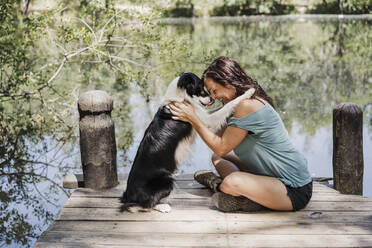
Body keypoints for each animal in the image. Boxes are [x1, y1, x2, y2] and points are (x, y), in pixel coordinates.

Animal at [120, 72, 254, 212]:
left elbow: (220, 108)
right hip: (167, 181)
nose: (211, 99)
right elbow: (228, 106)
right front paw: (248, 92)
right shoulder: (207, 120)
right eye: (199, 87)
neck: (179, 98)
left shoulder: (202, 115)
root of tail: (129, 195)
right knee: (144, 204)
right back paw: (163, 206)